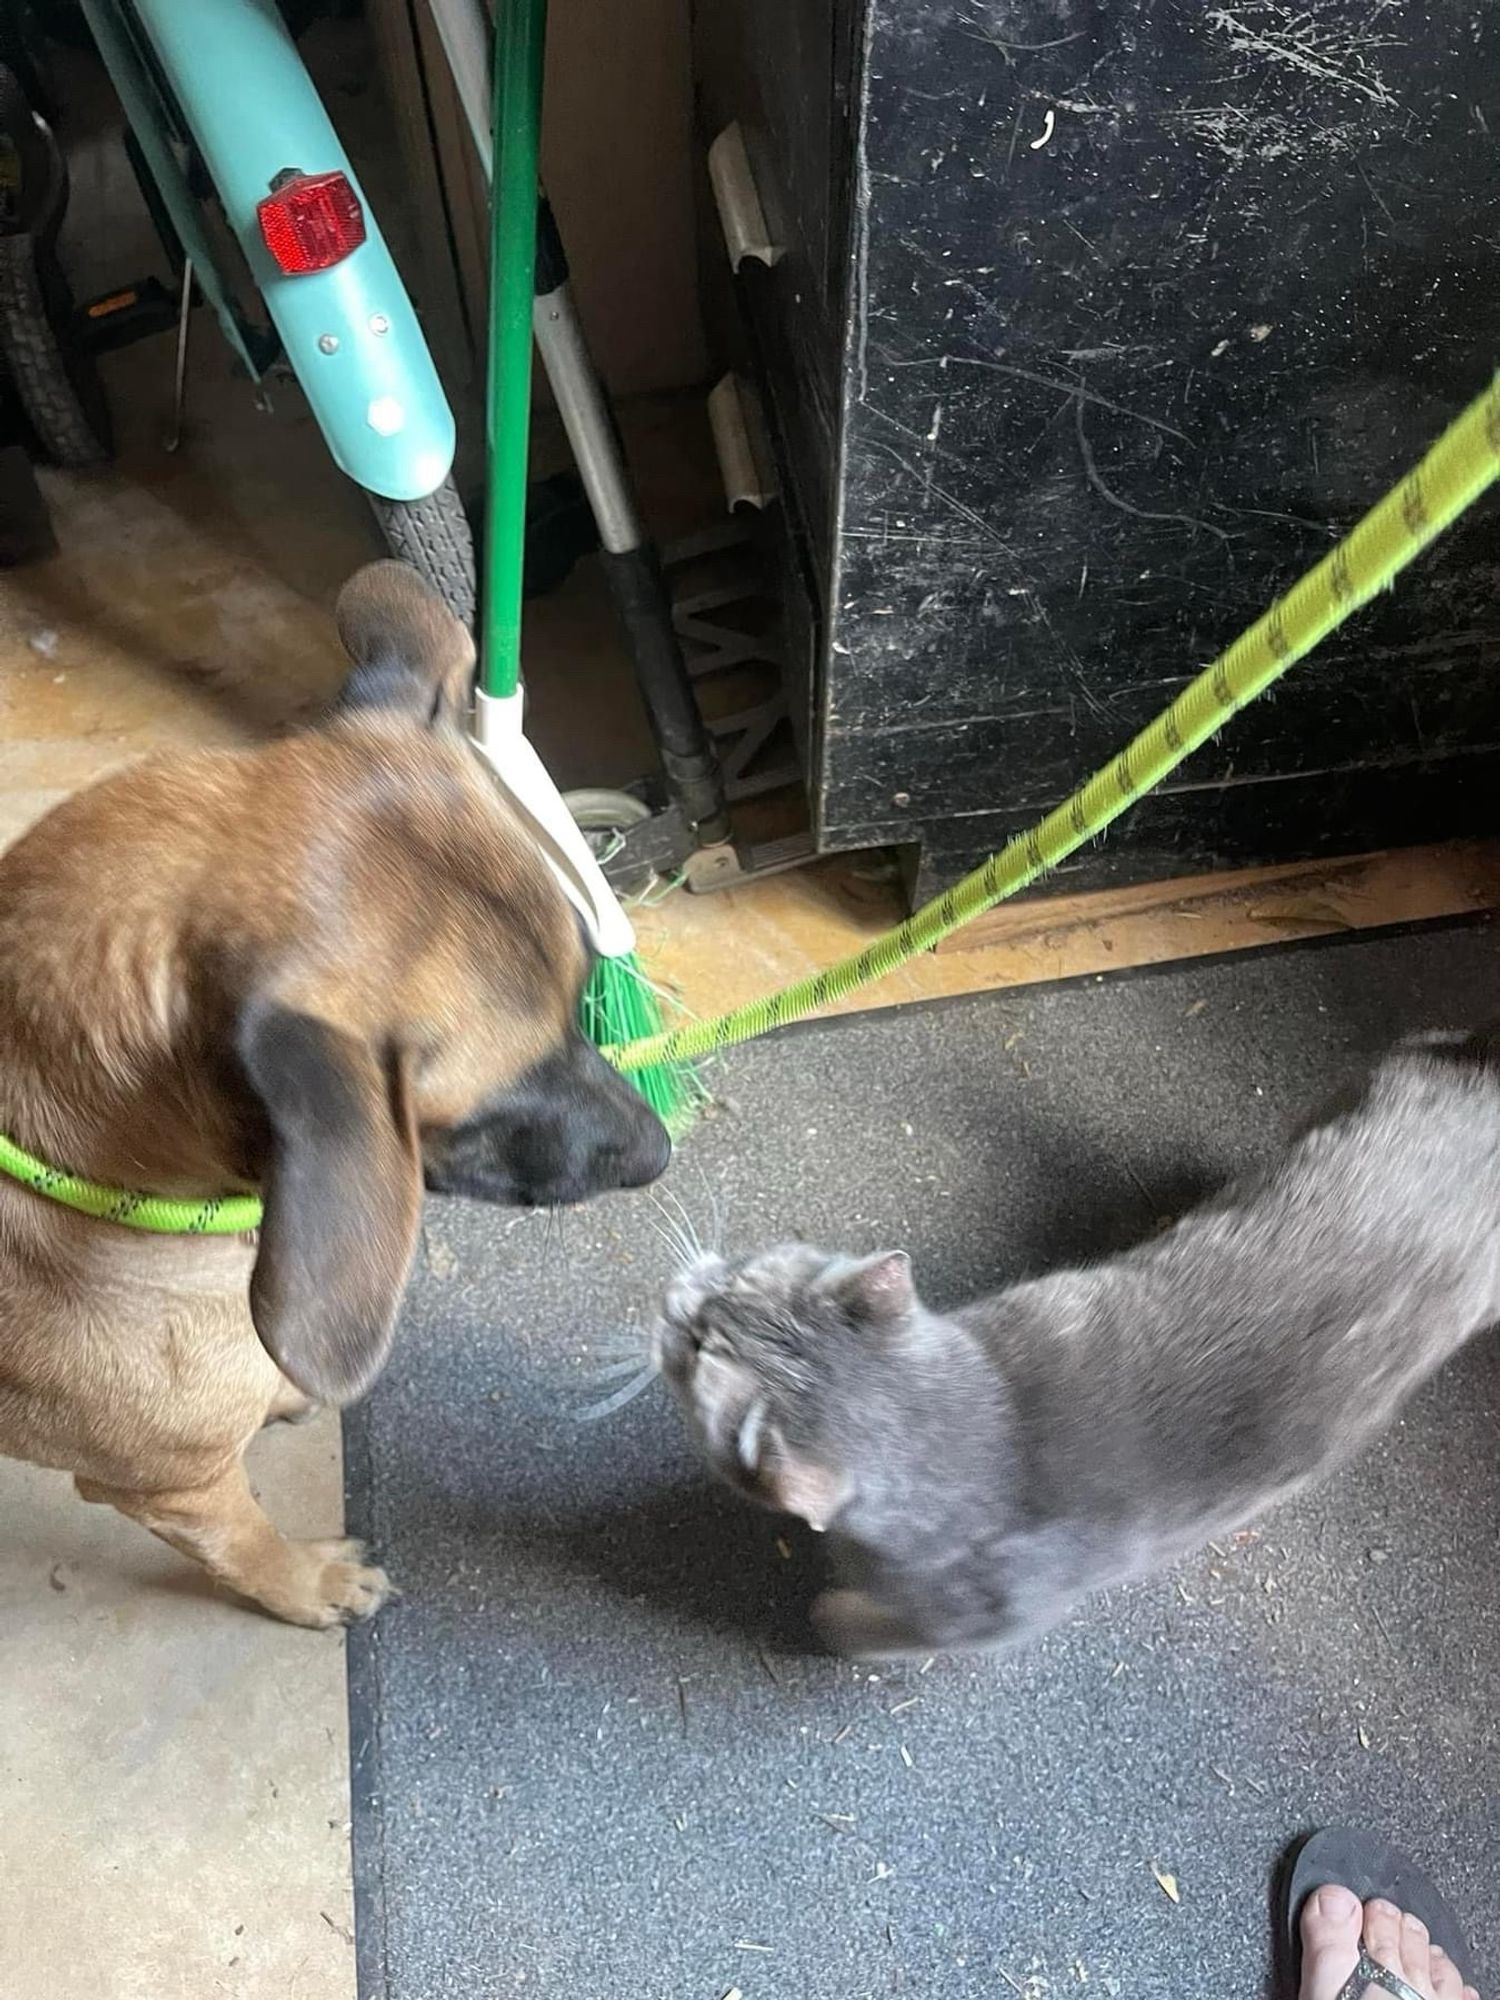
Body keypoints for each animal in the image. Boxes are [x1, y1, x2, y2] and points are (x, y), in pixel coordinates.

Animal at [0, 560, 664, 1624]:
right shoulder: (174, 1487)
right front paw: (307, 1583)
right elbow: (244, 1545)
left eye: (579, 1008)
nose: (661, 1152)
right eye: (473, 1114)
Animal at [664, 1032, 1500, 1656]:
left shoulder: (994, 1614)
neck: (974, 1431)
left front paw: (827, 1614)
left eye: (702, 1349)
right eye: (737, 1279)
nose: (680, 1299)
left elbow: (871, 1630)